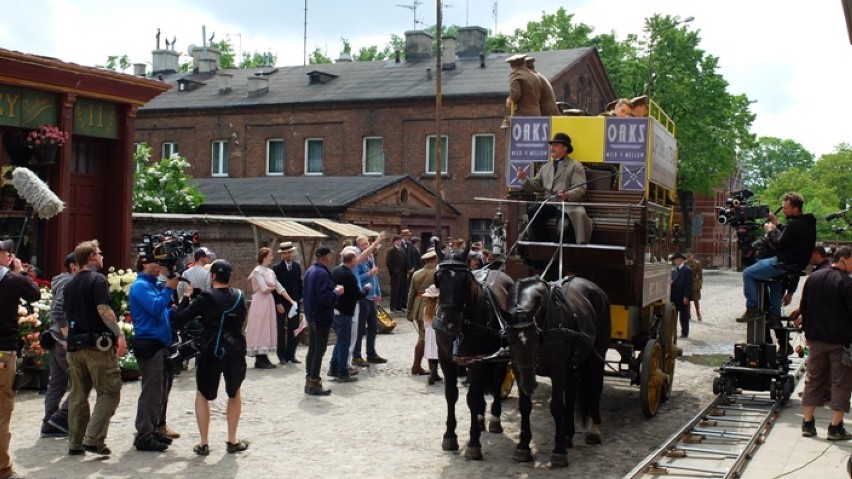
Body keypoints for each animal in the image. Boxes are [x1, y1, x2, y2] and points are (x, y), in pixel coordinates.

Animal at [432, 258, 512, 462]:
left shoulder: (479, 359)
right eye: (439, 279)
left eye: (463, 281)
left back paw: (494, 419)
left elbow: (473, 398)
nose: (449, 323)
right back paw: (481, 418)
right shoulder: (445, 357)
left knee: (497, 382)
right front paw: (449, 437)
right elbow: (451, 394)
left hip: (498, 358)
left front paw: (474, 444)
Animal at [502, 276, 608, 466]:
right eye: (510, 340)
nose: (529, 384)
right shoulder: (518, 368)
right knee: (572, 390)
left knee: (595, 387)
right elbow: (525, 407)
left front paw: (559, 451)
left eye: (535, 336)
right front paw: (523, 446)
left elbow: (557, 407)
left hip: (598, 352)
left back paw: (593, 431)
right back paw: (568, 434)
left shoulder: (557, 369)